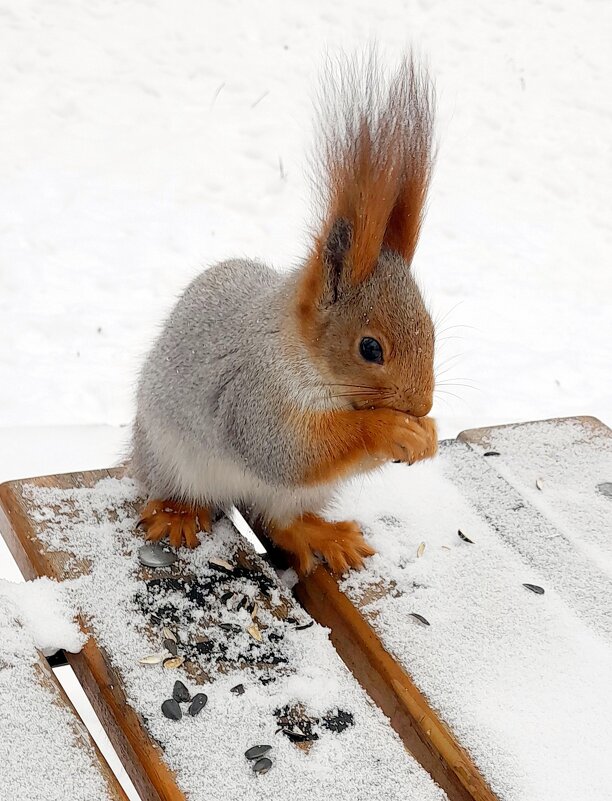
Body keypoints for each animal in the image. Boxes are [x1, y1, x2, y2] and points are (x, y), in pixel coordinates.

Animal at [131, 53, 440, 572]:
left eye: (434, 331)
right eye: (370, 347)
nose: (422, 407)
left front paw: (428, 434)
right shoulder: (254, 393)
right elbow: (288, 452)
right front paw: (387, 427)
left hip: (293, 497)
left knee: (280, 520)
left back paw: (323, 535)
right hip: (169, 455)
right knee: (181, 489)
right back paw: (177, 514)